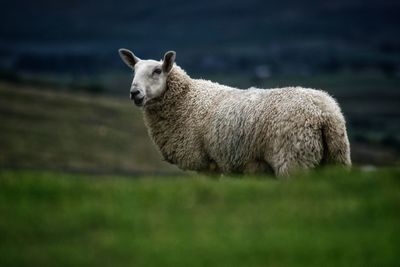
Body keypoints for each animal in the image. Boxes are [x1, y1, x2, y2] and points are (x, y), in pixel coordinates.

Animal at [118, 49, 350, 177]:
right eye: (133, 71)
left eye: (157, 71)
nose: (134, 93)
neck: (186, 99)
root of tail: (324, 113)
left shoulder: (205, 163)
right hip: (336, 157)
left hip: (294, 158)